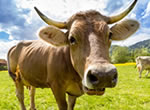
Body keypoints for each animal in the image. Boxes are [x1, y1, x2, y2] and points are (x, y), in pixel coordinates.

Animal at [7, 0, 139, 109]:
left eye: (110, 34)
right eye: (71, 38)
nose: (104, 75)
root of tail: (17, 44)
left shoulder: (73, 93)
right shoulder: (57, 87)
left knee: (32, 91)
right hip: (16, 78)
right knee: (20, 96)